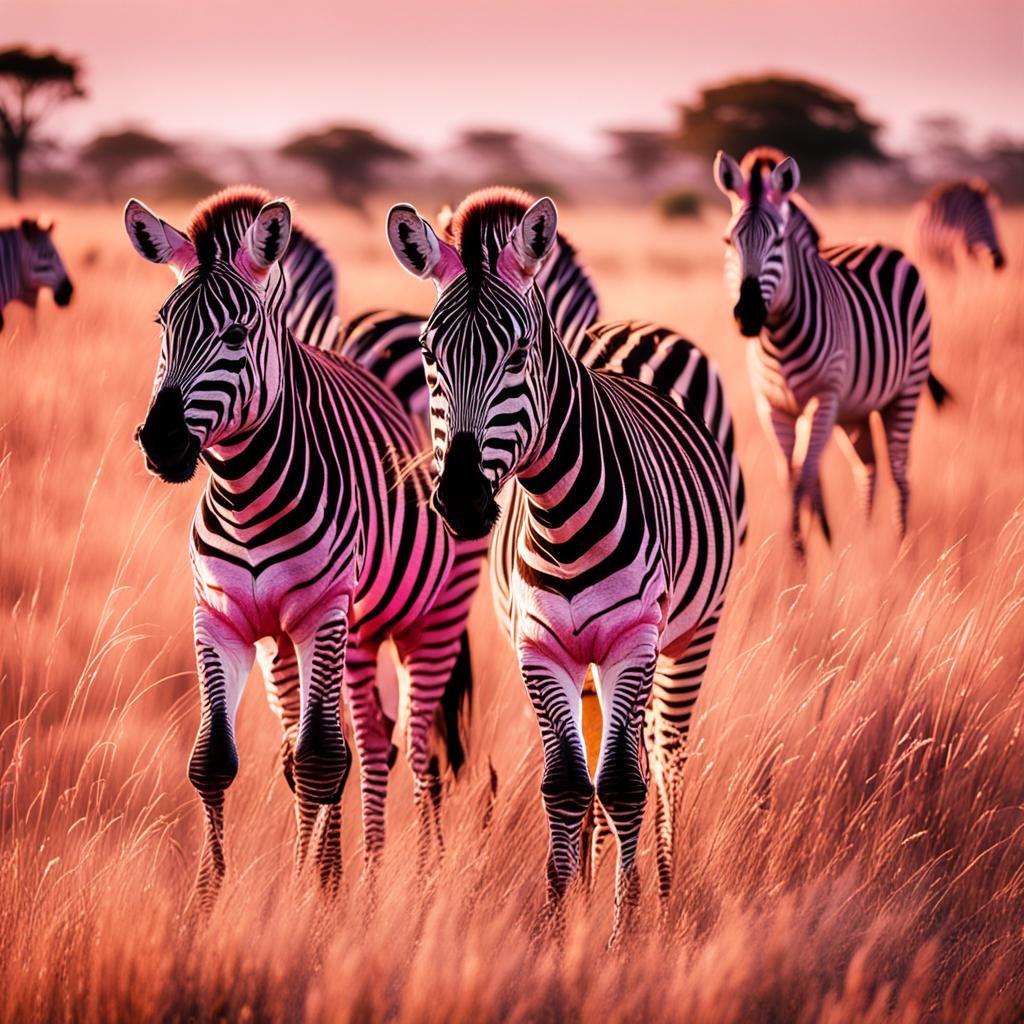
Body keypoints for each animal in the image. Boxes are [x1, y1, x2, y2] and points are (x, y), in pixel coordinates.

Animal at [124, 188, 483, 909]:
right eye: (162, 326)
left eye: (235, 336)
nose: (161, 442)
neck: (247, 497)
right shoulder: (224, 617)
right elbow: (224, 759)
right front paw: (211, 903)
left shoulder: (322, 612)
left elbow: (319, 759)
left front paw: (311, 899)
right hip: (329, 636)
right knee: (364, 738)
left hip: (430, 616)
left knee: (411, 746)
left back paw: (412, 880)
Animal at [385, 190, 740, 938]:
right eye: (428, 352)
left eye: (518, 352)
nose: (461, 500)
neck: (561, 517)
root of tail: (628, 333)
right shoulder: (540, 646)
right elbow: (567, 784)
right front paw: (559, 916)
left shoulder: (633, 639)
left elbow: (625, 783)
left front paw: (624, 928)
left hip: (688, 634)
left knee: (664, 756)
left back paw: (664, 887)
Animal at [715, 146, 946, 557]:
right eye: (729, 241)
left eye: (778, 242)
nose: (749, 315)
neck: (779, 339)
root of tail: (878, 243)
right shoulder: (773, 406)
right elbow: (791, 476)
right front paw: (812, 548)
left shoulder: (822, 398)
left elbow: (805, 475)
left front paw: (805, 555)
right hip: (854, 410)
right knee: (867, 467)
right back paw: (867, 536)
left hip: (905, 389)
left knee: (899, 470)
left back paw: (901, 547)